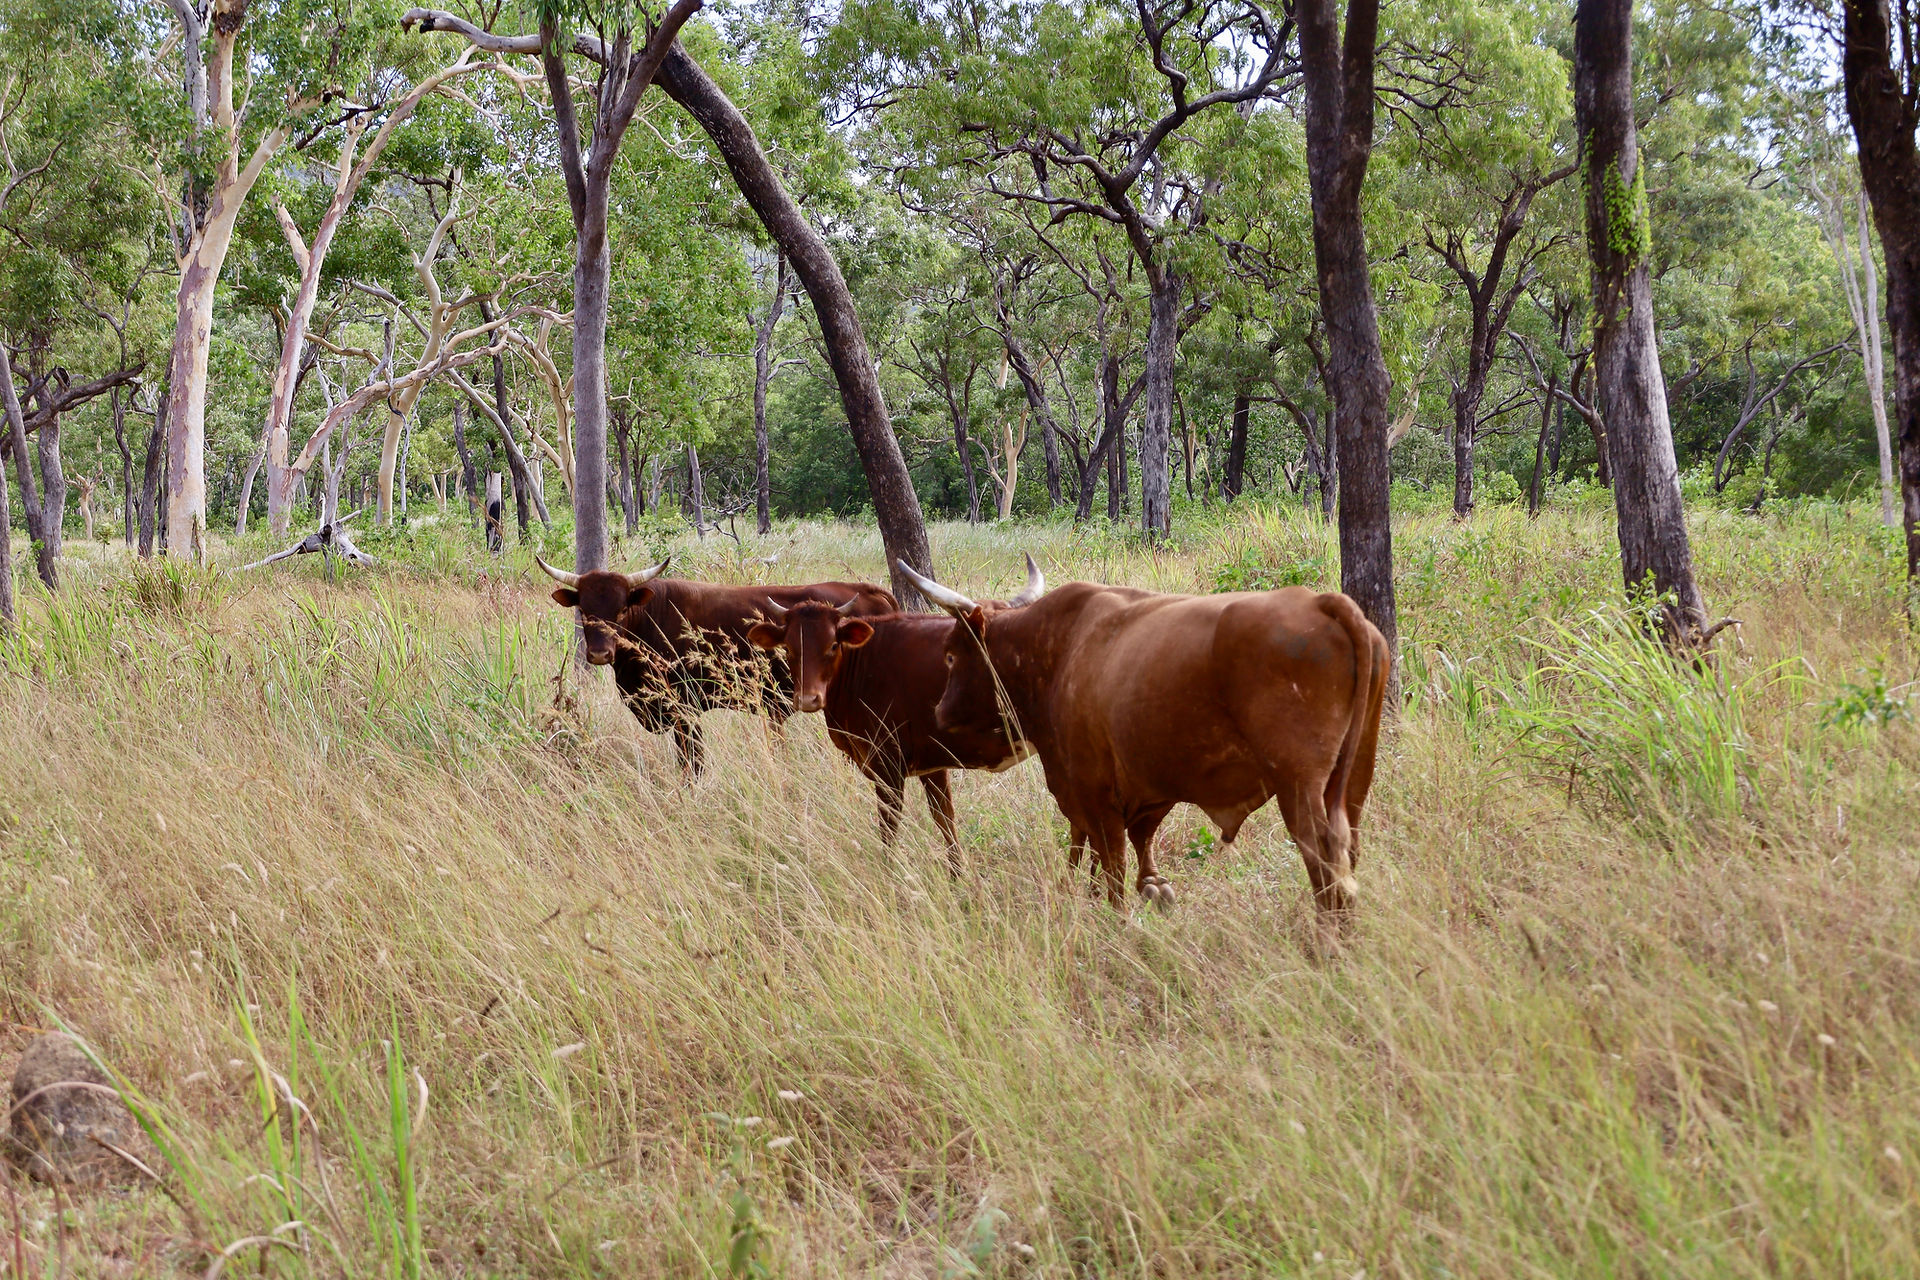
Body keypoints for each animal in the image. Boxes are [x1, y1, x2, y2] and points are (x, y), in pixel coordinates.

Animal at [535, 555, 898, 772]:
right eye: (584, 610)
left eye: (622, 609)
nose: (600, 654)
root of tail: (870, 591)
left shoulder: (685, 710)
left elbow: (691, 763)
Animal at [742, 557, 1046, 870]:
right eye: (789, 647)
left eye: (833, 645)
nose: (808, 699)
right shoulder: (933, 762)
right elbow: (944, 817)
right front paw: (957, 873)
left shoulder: (887, 765)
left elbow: (889, 827)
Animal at [899, 559, 1389, 947]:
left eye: (950, 655)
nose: (939, 711)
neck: (1054, 650)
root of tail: (1320, 602)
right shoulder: (1145, 785)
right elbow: (1136, 840)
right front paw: (1152, 886)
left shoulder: (1092, 791)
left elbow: (1111, 860)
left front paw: (1119, 917)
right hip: (1353, 780)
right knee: (1350, 852)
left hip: (1298, 785)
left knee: (1326, 865)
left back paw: (1327, 947)